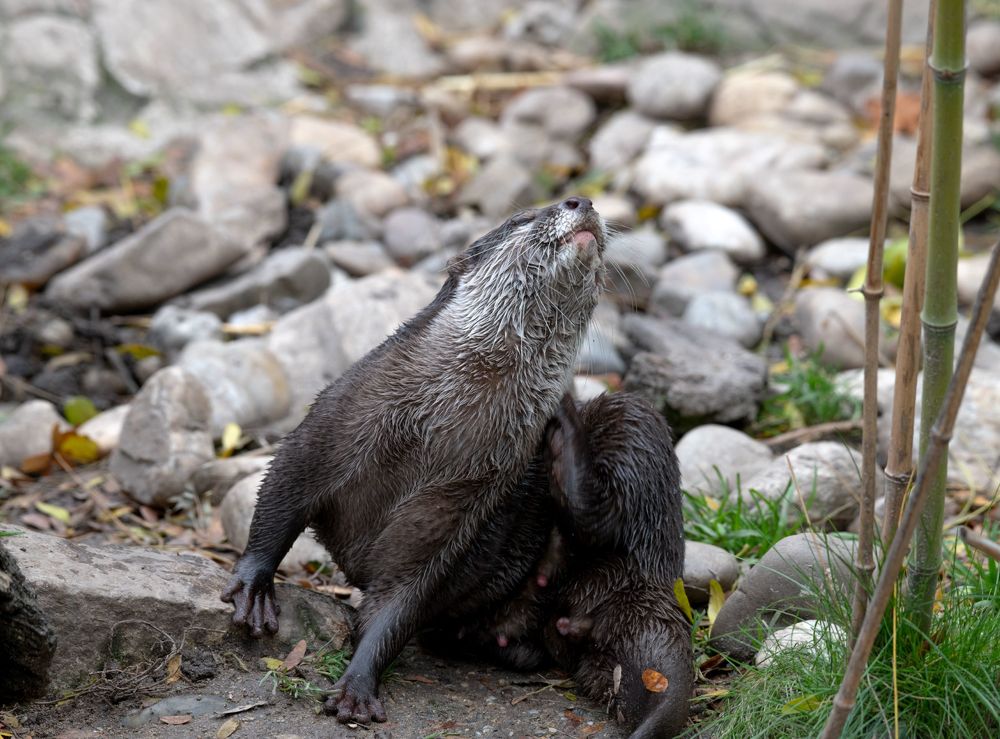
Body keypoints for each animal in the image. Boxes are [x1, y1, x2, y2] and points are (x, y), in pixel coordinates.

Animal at [221, 197, 606, 724]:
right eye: (521, 219)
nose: (581, 201)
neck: (431, 432)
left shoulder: (461, 509)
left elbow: (403, 598)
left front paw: (357, 685)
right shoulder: (335, 419)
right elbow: (283, 489)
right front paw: (254, 586)